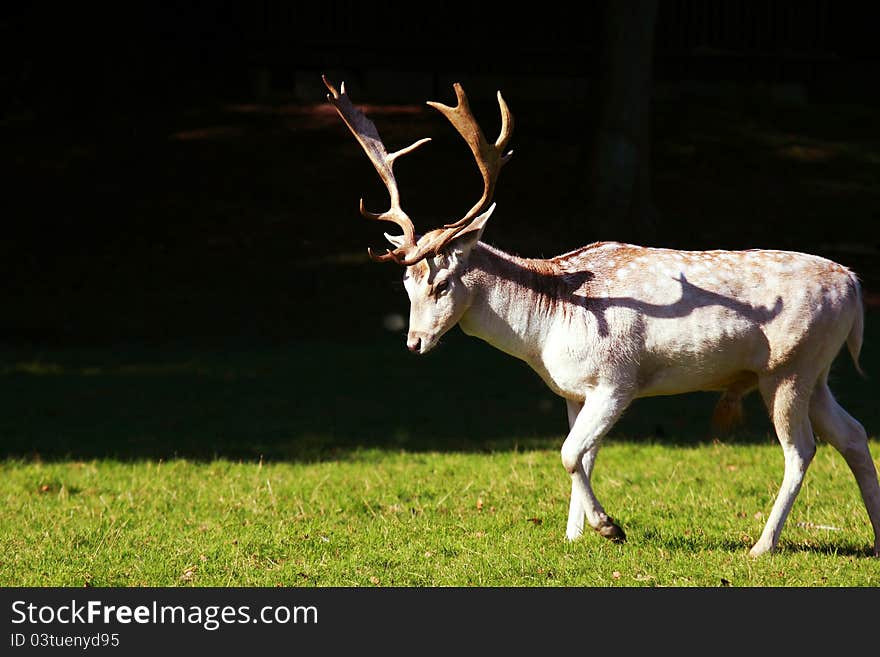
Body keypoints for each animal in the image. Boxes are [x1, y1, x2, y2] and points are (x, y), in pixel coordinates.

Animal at [324, 74, 880, 556]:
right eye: (405, 284)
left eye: (441, 284)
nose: (414, 342)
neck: (546, 330)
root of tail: (854, 285)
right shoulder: (574, 390)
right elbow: (582, 454)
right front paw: (574, 536)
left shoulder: (618, 379)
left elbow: (570, 453)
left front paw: (610, 528)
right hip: (816, 371)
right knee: (853, 435)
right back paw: (874, 539)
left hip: (788, 367)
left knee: (801, 450)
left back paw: (762, 546)